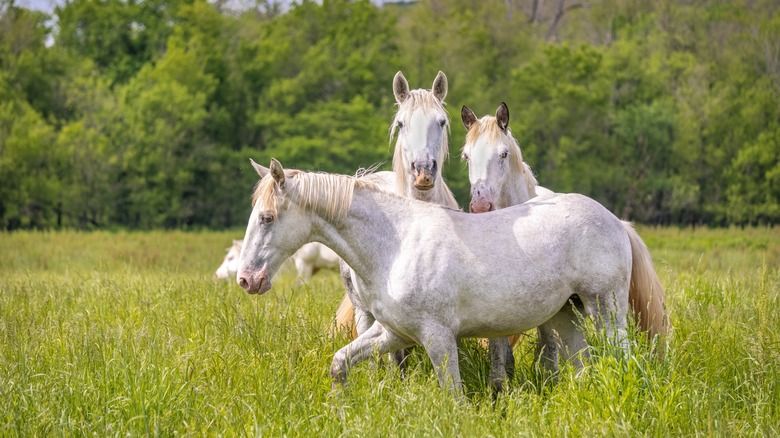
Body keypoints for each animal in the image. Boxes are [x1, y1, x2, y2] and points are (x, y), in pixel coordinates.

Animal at [237, 158, 635, 395]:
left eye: (268, 218)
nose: (246, 279)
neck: (395, 244)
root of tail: (615, 220)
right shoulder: (394, 333)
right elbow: (341, 363)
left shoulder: (438, 336)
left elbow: (453, 396)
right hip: (567, 314)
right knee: (581, 365)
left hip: (605, 308)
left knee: (623, 356)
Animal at [461, 102, 669, 372]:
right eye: (466, 156)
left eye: (503, 154)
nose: (480, 205)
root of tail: (619, 223)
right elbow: (501, 350)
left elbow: (549, 347)